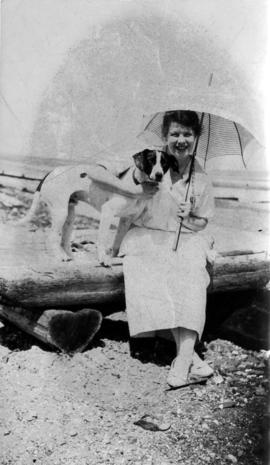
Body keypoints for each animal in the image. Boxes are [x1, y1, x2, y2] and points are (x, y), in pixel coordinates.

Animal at [17, 149, 171, 264]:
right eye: (151, 160)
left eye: (164, 163)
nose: (159, 175)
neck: (137, 184)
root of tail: (51, 173)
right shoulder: (107, 212)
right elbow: (102, 239)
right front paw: (103, 259)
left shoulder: (126, 220)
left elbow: (117, 243)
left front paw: (113, 257)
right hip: (60, 212)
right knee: (51, 237)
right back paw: (60, 257)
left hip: (70, 215)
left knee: (64, 240)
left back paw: (71, 257)